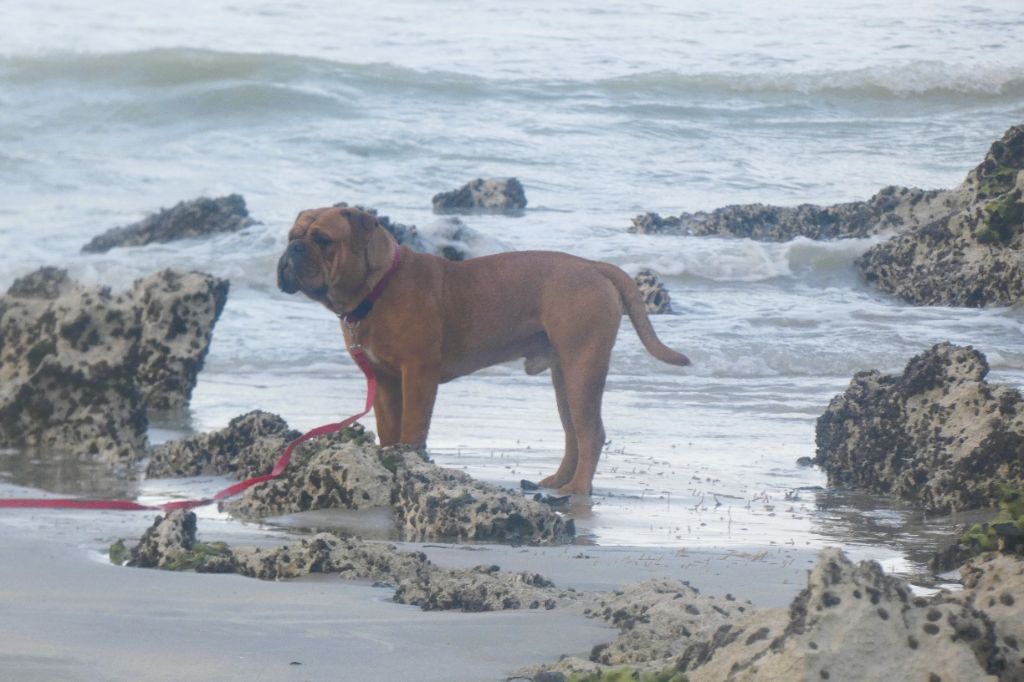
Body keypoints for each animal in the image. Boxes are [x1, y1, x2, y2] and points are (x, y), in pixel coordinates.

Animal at [277, 206, 690, 495]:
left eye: (323, 240)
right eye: (291, 236)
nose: (292, 249)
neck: (378, 287)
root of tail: (593, 266)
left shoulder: (418, 374)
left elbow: (413, 426)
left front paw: (410, 461)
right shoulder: (384, 381)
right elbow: (389, 427)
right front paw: (388, 458)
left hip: (583, 366)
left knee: (592, 433)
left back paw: (577, 489)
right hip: (566, 377)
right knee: (573, 432)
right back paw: (558, 481)